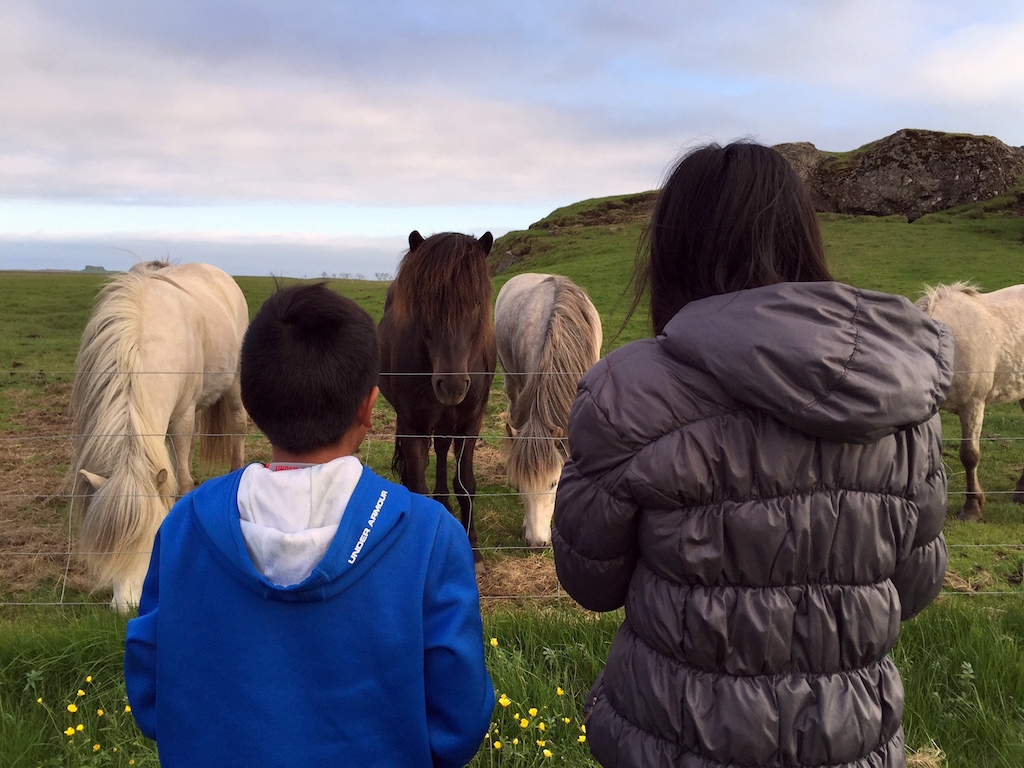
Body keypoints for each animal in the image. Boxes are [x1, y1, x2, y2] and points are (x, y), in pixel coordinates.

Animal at [70, 264, 249, 614]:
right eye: (107, 546)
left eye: (148, 542)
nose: (125, 608)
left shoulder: (182, 419)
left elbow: (182, 482)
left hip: (233, 383)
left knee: (237, 426)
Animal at [382, 231, 497, 573]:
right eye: (425, 303)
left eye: (476, 303)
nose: (453, 385)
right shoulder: (413, 426)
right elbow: (419, 488)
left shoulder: (470, 425)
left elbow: (466, 484)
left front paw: (474, 552)